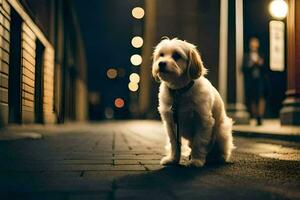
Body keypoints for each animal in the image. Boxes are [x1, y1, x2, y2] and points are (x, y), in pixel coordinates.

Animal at [152, 38, 234, 167]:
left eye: (176, 55)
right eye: (161, 55)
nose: (161, 63)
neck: (179, 91)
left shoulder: (203, 122)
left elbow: (199, 142)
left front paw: (196, 160)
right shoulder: (171, 124)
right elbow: (174, 144)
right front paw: (173, 159)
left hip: (222, 132)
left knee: (222, 150)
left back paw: (217, 157)